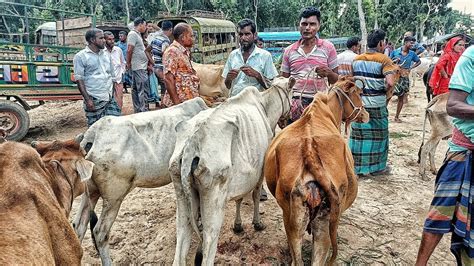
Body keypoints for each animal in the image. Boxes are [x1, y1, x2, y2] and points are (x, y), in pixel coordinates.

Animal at [170, 77, 294, 266]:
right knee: (208, 247)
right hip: (214, 205)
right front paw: (257, 223)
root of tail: (192, 143)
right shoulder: (260, 172)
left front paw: (238, 225)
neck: (265, 106)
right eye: (292, 92)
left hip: (181, 196)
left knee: (181, 241)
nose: (289, 117)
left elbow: (239, 199)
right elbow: (255, 195)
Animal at [264, 76, 368, 264]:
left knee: (297, 258)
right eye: (358, 93)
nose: (366, 114)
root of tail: (309, 150)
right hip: (324, 224)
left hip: (292, 216)